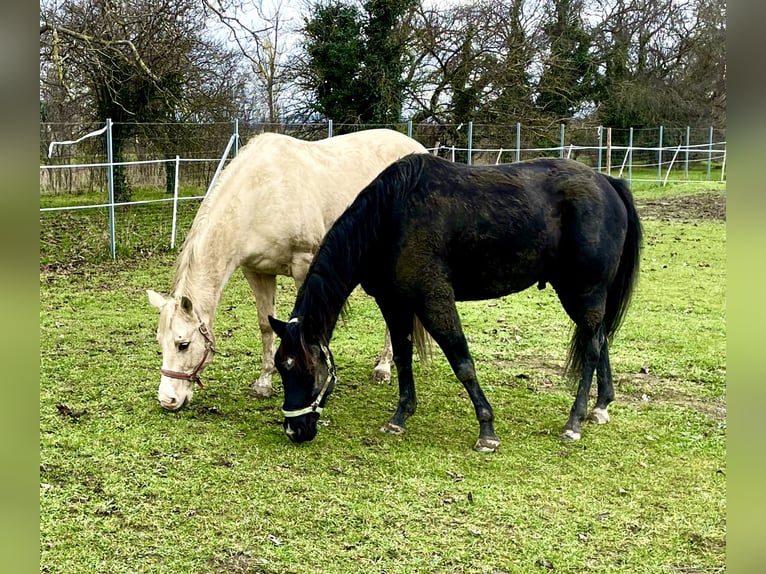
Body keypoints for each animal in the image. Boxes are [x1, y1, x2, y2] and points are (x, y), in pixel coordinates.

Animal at [147, 129, 428, 412]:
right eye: (160, 342)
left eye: (183, 344)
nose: (168, 400)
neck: (260, 195)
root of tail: (420, 150)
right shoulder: (257, 272)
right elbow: (265, 325)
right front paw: (264, 383)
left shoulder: (304, 265)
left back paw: (383, 368)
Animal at [268, 154, 640, 454]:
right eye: (281, 368)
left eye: (307, 369)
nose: (294, 430)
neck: (390, 217)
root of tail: (607, 182)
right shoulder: (393, 302)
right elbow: (403, 358)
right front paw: (400, 417)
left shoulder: (434, 299)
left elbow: (462, 362)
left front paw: (487, 431)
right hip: (583, 296)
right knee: (600, 338)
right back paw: (601, 406)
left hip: (585, 292)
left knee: (591, 348)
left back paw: (574, 422)